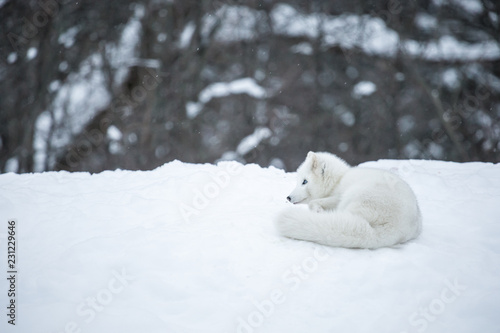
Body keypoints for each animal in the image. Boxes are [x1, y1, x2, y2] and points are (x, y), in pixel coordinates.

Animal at [276, 152, 424, 248]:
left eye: (305, 181)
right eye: (299, 181)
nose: (288, 197)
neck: (338, 180)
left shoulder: (337, 196)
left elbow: (313, 202)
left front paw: (318, 211)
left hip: (351, 197)